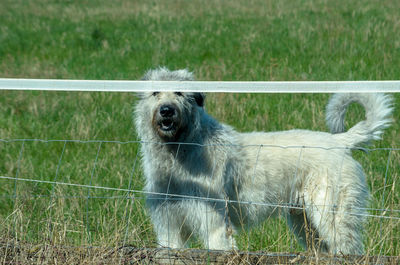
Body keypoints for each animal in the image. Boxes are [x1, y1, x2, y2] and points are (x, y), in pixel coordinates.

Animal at [134, 67, 394, 253]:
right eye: (156, 93)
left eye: (179, 92)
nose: (167, 111)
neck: (181, 148)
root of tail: (339, 141)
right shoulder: (169, 225)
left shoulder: (215, 224)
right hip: (305, 222)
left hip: (333, 215)